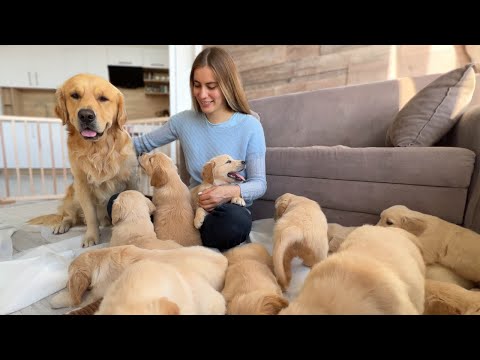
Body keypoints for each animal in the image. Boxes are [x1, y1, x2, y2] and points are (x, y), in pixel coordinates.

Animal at [28, 73, 138, 248]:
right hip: (73, 195)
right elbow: (91, 216)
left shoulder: (130, 179)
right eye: (74, 95)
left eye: (103, 98)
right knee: (68, 215)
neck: (98, 149)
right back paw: (62, 225)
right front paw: (91, 237)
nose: (86, 115)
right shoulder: (82, 185)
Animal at [50, 243, 227, 308]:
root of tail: (224, 260)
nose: (65, 284)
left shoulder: (98, 294)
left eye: (68, 277)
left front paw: (57, 300)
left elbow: (76, 299)